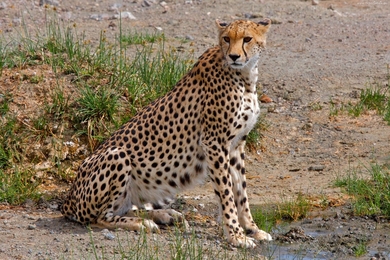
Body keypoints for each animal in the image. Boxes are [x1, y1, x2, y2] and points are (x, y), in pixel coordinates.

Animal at [62, 18, 272, 248]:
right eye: (226, 38)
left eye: (247, 38)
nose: (234, 56)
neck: (245, 77)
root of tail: (68, 199)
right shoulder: (215, 143)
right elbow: (226, 194)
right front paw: (236, 235)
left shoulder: (236, 145)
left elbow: (241, 192)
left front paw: (253, 229)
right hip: (117, 155)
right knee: (100, 218)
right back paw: (142, 223)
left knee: (126, 208)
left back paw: (166, 215)